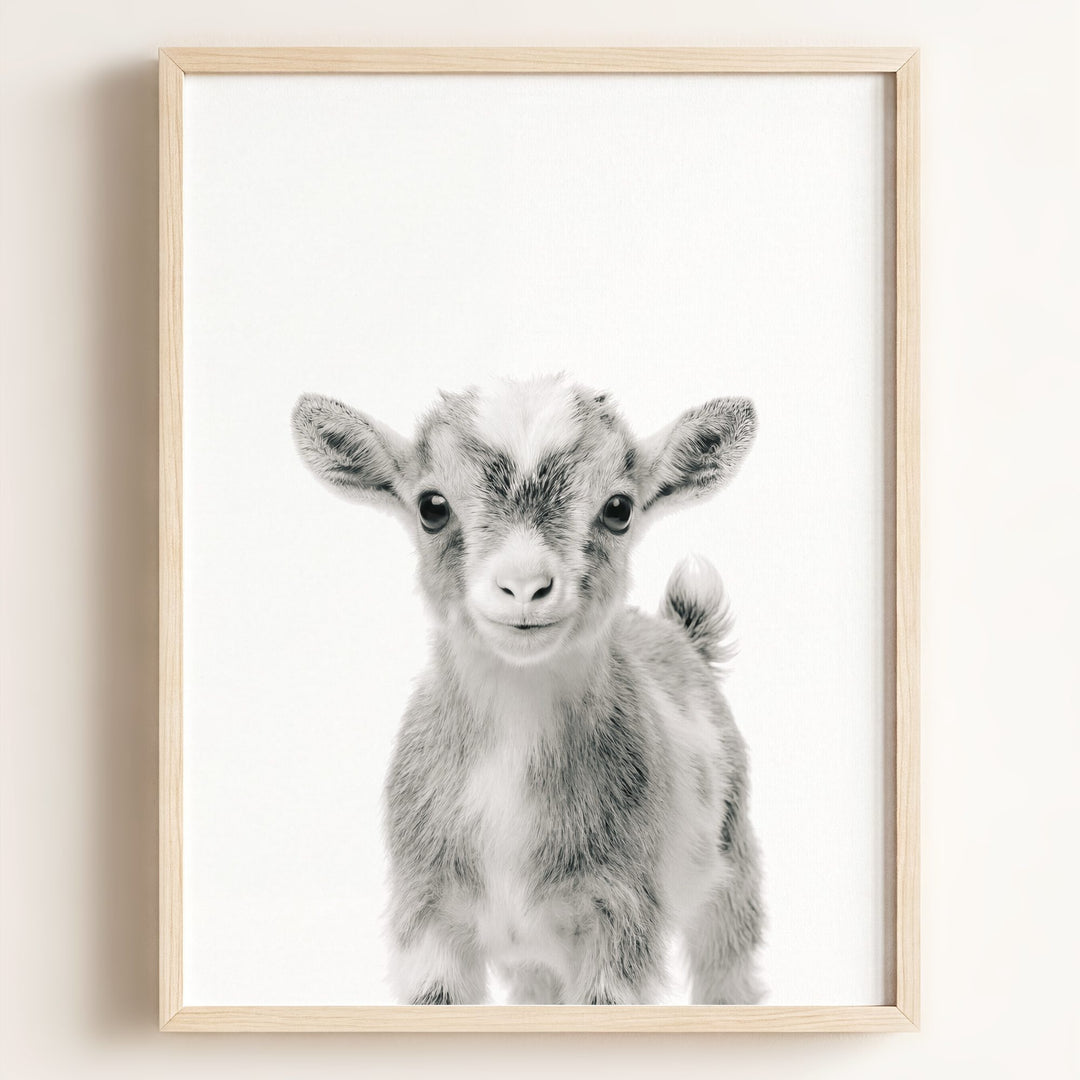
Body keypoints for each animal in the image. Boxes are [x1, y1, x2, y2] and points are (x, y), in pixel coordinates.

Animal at [292, 374, 763, 1005]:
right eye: (432, 507)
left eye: (619, 509)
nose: (523, 586)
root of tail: (681, 633)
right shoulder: (427, 918)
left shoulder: (620, 914)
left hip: (732, 868)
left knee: (728, 968)